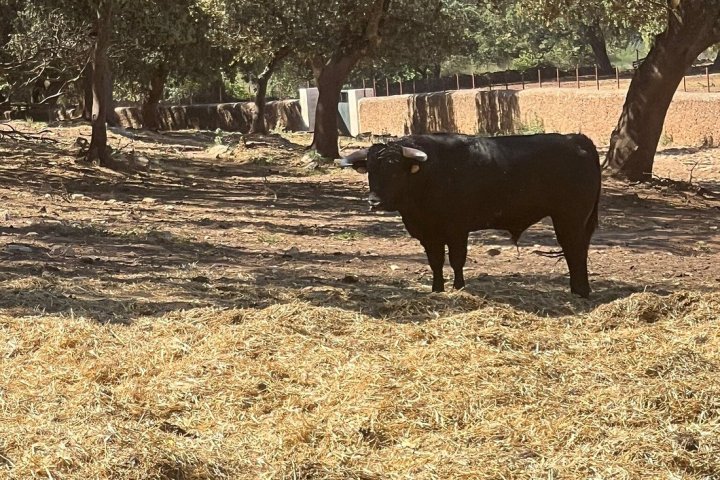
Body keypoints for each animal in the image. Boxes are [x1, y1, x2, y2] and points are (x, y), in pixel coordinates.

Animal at [337, 133, 601, 297]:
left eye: (395, 169)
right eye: (370, 170)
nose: (374, 202)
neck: (428, 174)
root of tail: (577, 138)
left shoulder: (457, 230)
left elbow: (456, 260)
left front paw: (459, 287)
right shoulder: (428, 234)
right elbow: (435, 262)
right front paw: (437, 289)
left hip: (570, 218)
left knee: (575, 251)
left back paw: (580, 290)